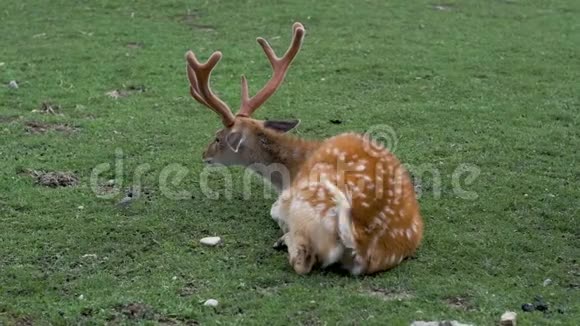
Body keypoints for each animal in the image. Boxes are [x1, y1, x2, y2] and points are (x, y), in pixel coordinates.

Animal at [188, 22, 424, 276]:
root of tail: (361, 242)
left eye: (218, 137)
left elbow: (273, 210)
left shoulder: (283, 200)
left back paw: (284, 240)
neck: (291, 170)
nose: (204, 155)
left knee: (303, 261)